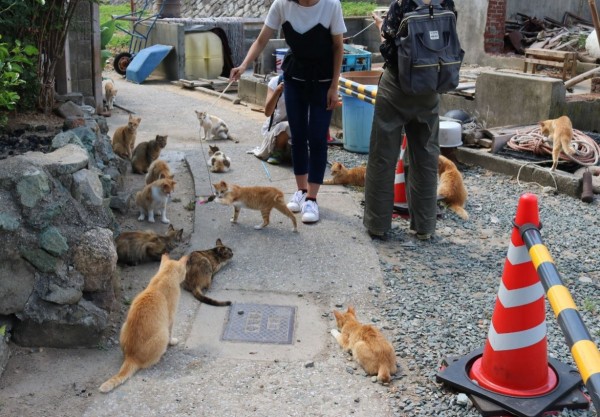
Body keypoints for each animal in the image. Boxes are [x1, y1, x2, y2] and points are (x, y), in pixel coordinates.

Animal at [99, 252, 188, 392]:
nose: (185, 276)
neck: (164, 275)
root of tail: (131, 356)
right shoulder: (171, 319)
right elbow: (171, 333)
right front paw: (172, 342)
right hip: (162, 334)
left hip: (124, 326)